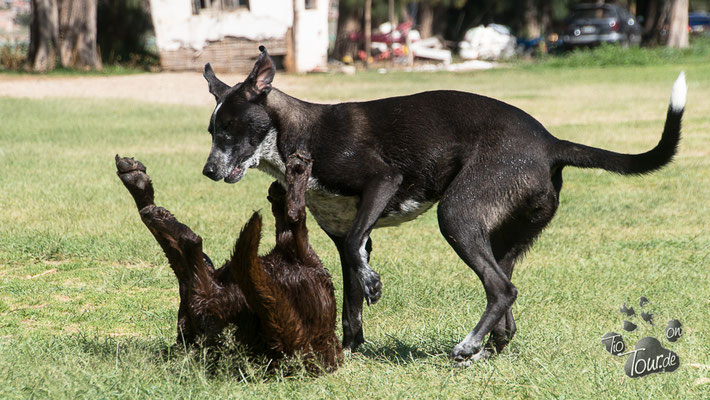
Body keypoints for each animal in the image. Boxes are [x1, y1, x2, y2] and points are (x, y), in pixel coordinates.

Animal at [199, 47, 684, 362]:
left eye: (230, 127)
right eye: (211, 129)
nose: (207, 171)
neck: (301, 131)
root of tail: (550, 144)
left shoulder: (383, 181)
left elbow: (358, 254)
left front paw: (373, 287)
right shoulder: (344, 236)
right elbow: (351, 288)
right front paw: (349, 347)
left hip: (457, 216)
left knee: (502, 290)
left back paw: (467, 345)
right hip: (503, 237)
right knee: (505, 304)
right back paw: (485, 350)